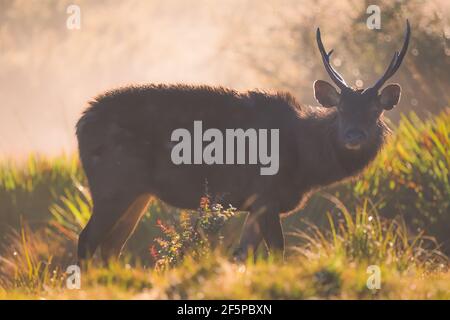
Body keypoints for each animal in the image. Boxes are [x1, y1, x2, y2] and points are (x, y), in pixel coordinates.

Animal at [75, 21, 410, 264]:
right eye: (340, 109)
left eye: (374, 111)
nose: (354, 136)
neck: (306, 166)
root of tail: (80, 124)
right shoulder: (266, 194)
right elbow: (276, 251)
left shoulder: (255, 204)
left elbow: (241, 253)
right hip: (113, 183)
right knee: (87, 238)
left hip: (139, 192)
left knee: (111, 245)